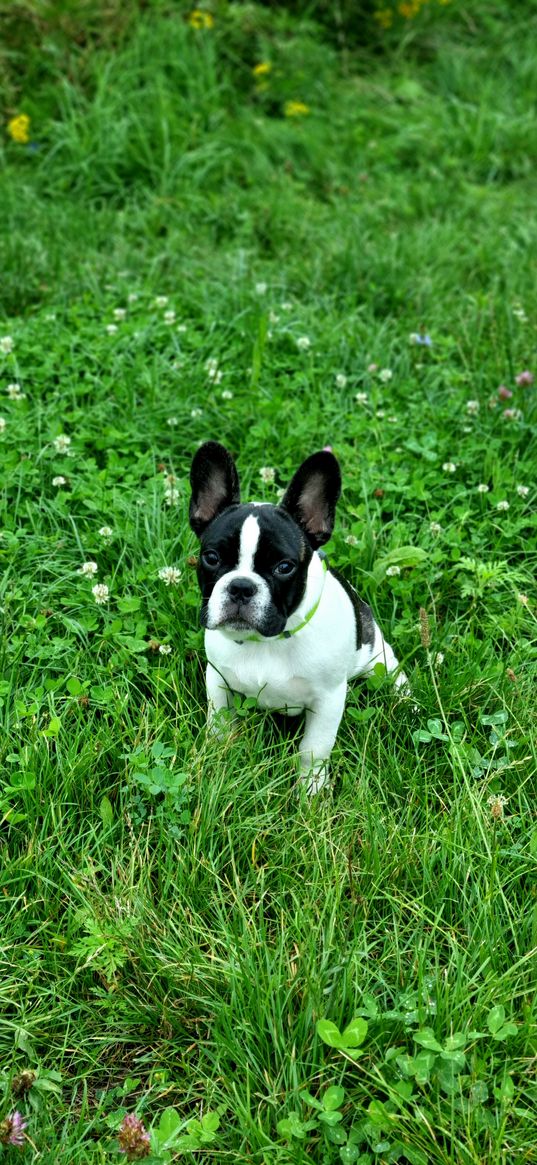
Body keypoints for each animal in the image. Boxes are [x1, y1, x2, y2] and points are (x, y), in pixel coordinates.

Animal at [191, 438, 403, 792]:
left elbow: (313, 749)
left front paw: (312, 790)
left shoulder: (328, 701)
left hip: (375, 658)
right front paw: (216, 759)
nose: (241, 587)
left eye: (284, 567)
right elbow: (219, 724)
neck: (266, 641)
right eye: (211, 557)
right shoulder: (218, 681)